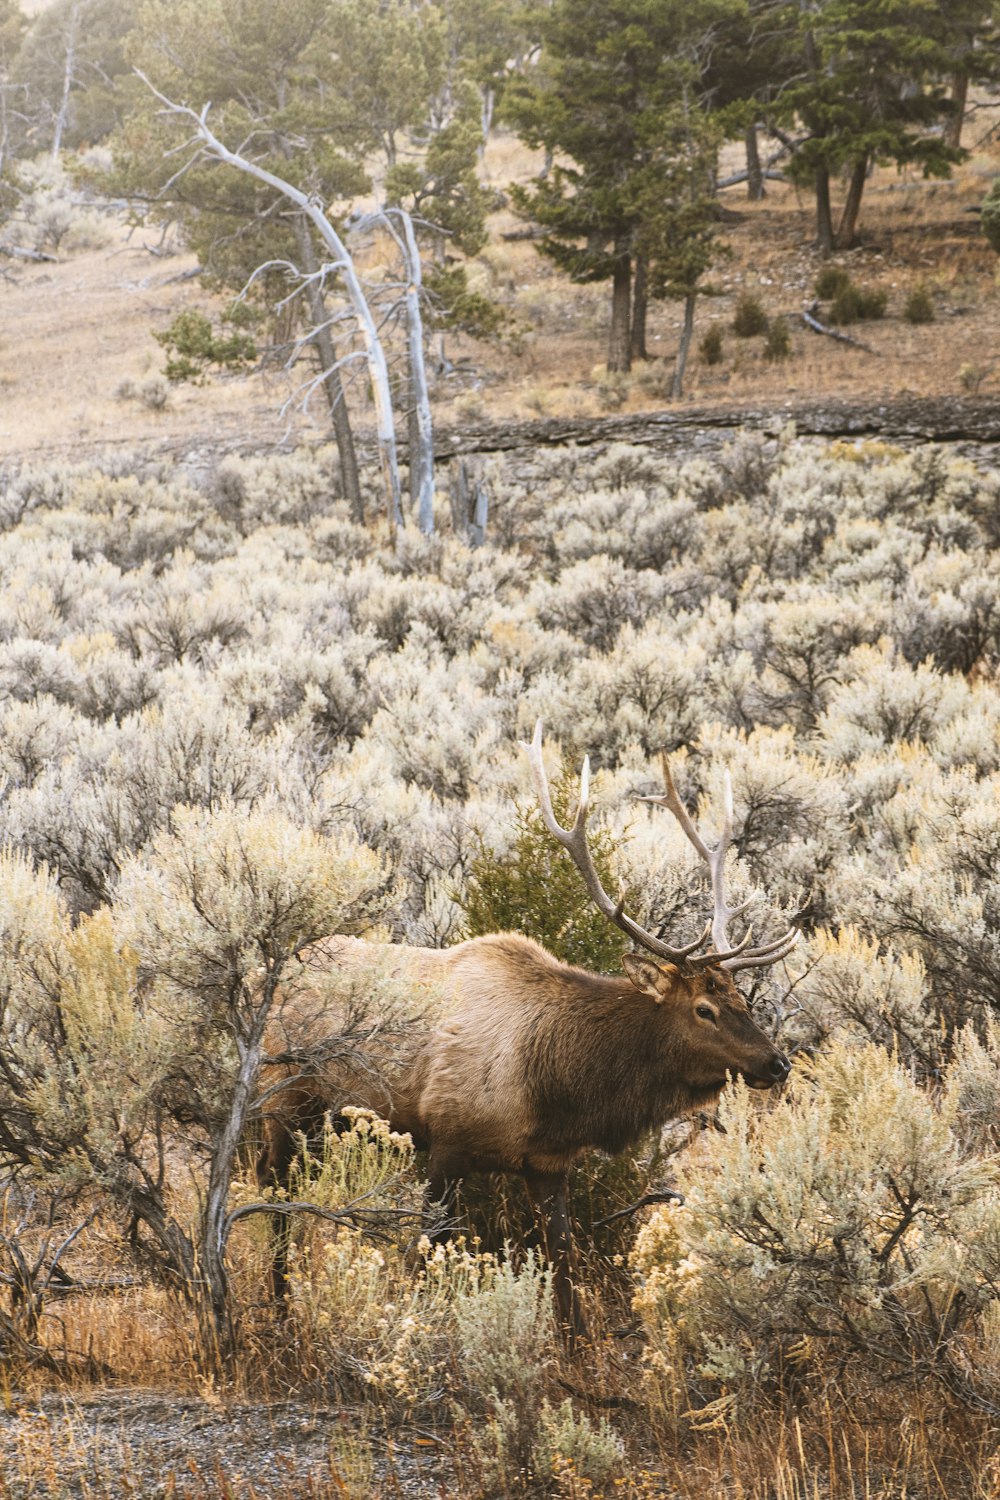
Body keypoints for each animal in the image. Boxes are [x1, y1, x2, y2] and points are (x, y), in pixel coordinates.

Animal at [257, 720, 797, 1344]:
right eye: (704, 1009)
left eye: (741, 998)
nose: (776, 1063)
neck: (556, 1088)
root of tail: (270, 978)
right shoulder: (446, 1137)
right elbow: (423, 1252)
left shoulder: (547, 1163)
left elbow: (563, 1268)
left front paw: (575, 1351)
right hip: (286, 1101)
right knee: (272, 1191)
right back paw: (277, 1308)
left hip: (325, 1122)